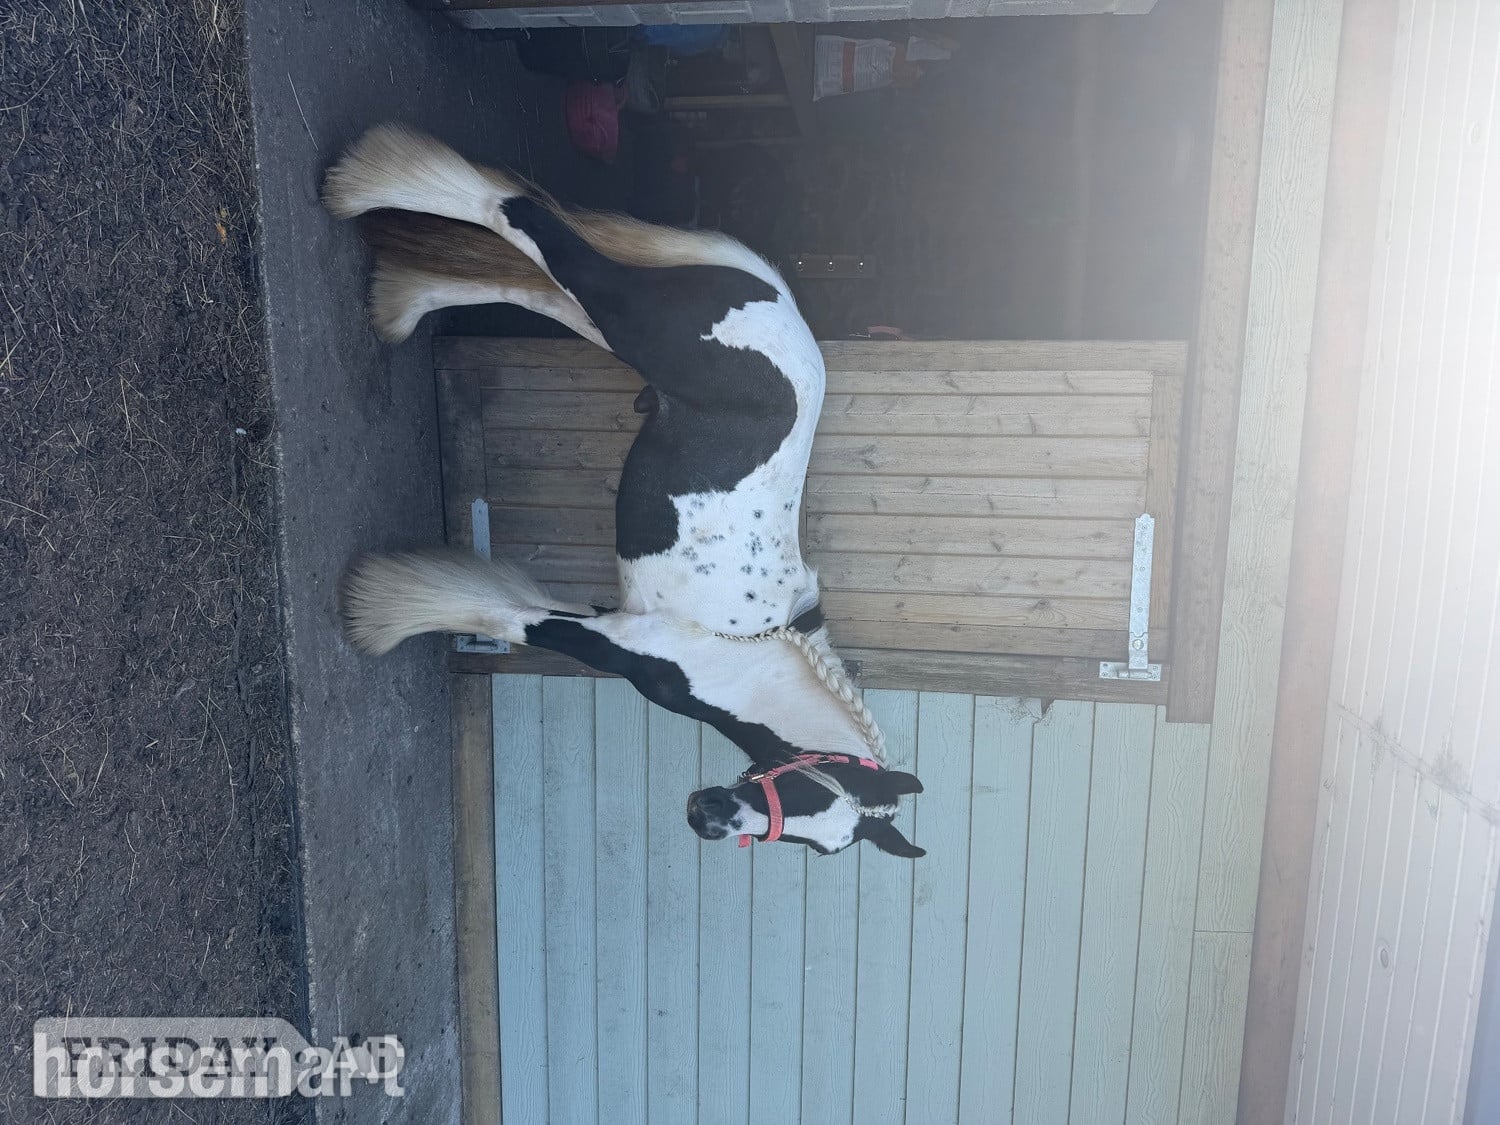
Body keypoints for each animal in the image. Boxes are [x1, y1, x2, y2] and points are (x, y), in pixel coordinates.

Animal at [324, 125, 925, 858]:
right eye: (816, 800)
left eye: (814, 844)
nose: (707, 816)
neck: (744, 662)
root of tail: (773, 299)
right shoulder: (611, 640)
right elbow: (498, 615)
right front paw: (377, 615)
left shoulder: (609, 617)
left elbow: (501, 599)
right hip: (620, 313)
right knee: (516, 215)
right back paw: (363, 185)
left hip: (610, 325)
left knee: (533, 284)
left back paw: (400, 300)